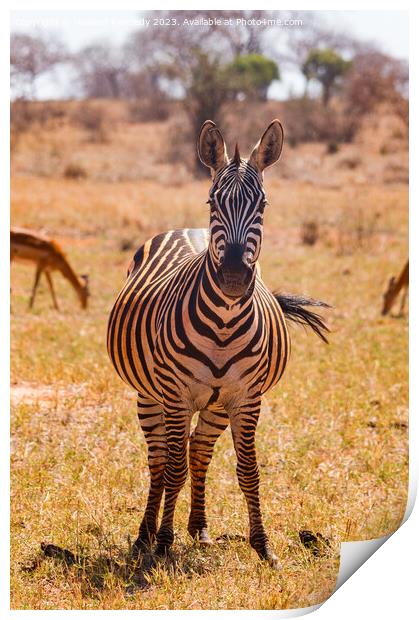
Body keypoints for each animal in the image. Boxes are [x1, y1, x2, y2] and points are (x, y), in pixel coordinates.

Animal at [106, 118, 330, 568]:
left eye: (263, 205)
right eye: (213, 203)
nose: (233, 278)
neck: (224, 324)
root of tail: (185, 230)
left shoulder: (246, 398)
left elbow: (249, 471)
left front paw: (263, 546)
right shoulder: (176, 395)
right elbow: (172, 470)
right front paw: (162, 543)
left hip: (215, 404)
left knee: (198, 450)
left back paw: (199, 527)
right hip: (149, 394)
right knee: (161, 460)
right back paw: (145, 536)